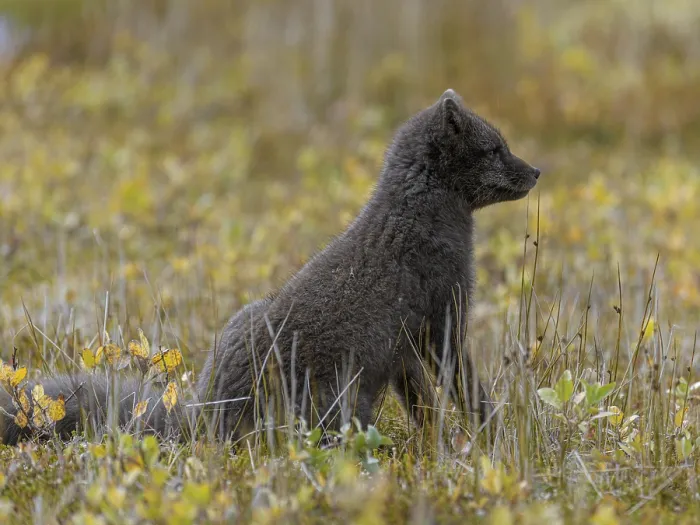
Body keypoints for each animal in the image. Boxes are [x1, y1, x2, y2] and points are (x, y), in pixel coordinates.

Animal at [0, 89, 540, 445]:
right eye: (495, 149)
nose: (537, 171)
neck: (416, 217)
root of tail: (203, 414)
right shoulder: (444, 325)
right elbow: (469, 394)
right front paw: (492, 440)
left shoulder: (406, 350)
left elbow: (425, 408)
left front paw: (440, 448)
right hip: (341, 399)